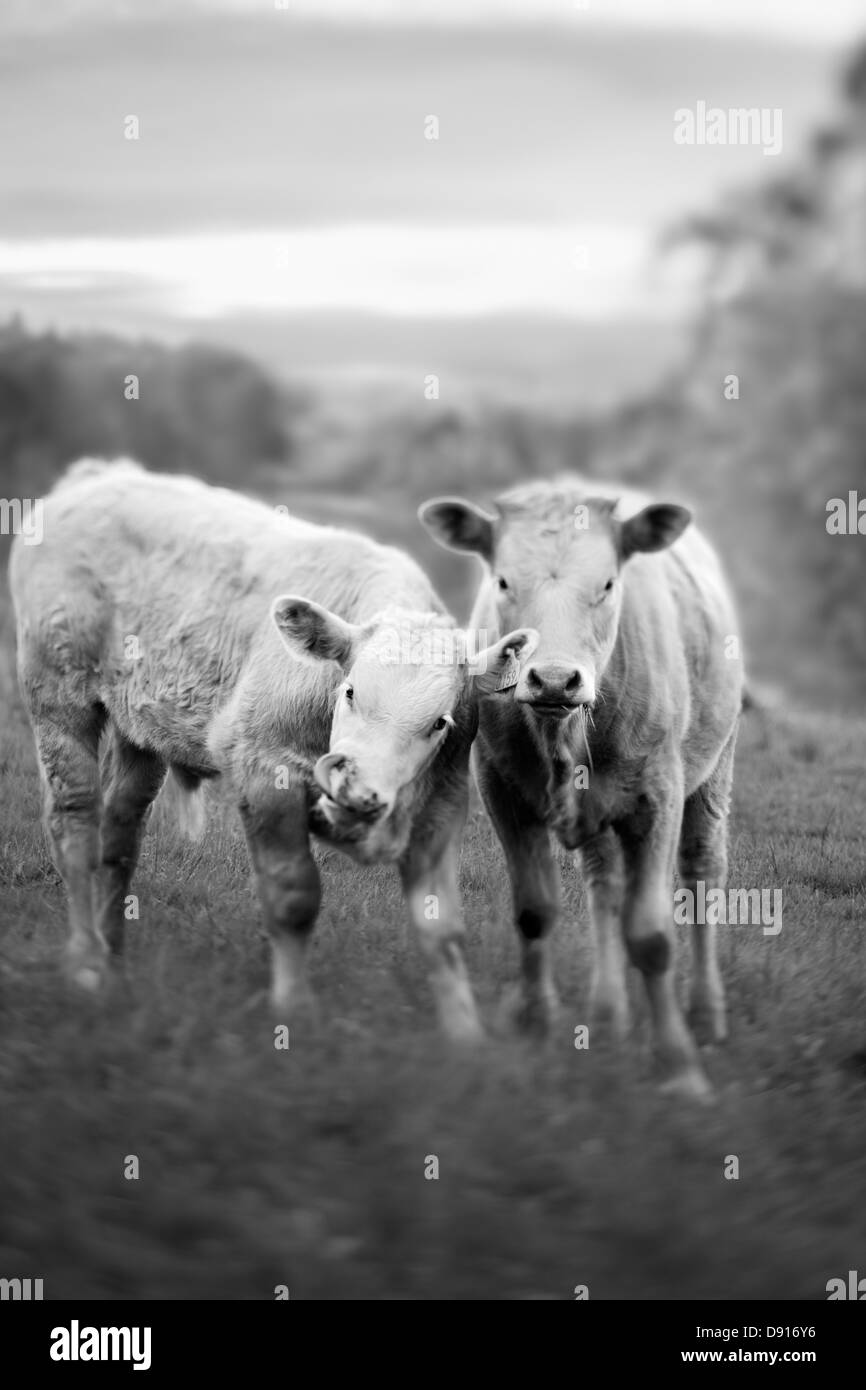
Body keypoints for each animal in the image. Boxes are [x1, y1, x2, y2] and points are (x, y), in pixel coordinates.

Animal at [10, 460, 536, 1040]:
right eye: (350, 692)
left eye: (439, 722)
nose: (357, 792)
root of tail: (99, 475)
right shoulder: (267, 776)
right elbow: (293, 898)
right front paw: (294, 1008)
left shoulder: (442, 803)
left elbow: (442, 928)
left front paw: (465, 1035)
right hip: (58, 695)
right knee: (75, 824)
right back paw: (85, 961)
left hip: (137, 728)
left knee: (119, 834)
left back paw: (113, 963)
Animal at [420, 477, 743, 1099]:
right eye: (503, 581)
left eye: (609, 584)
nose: (553, 679)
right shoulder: (500, 788)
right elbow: (535, 911)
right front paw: (536, 1027)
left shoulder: (659, 796)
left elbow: (652, 934)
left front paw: (680, 1067)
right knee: (604, 885)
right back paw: (608, 1012)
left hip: (715, 770)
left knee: (702, 874)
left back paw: (707, 1014)